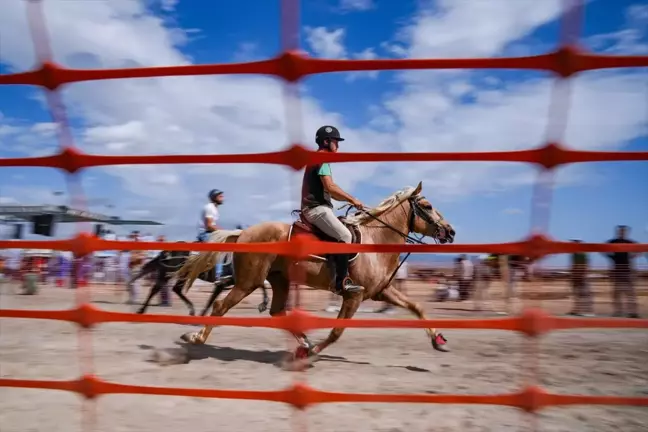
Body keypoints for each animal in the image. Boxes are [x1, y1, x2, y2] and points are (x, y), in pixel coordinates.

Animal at [175, 182, 454, 362]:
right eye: (428, 206)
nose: (450, 232)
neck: (375, 241)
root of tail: (243, 233)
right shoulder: (354, 295)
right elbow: (336, 332)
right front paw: (312, 352)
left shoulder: (381, 292)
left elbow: (416, 307)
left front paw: (438, 339)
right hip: (248, 282)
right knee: (220, 306)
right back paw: (195, 336)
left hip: (279, 281)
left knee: (277, 312)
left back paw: (304, 342)